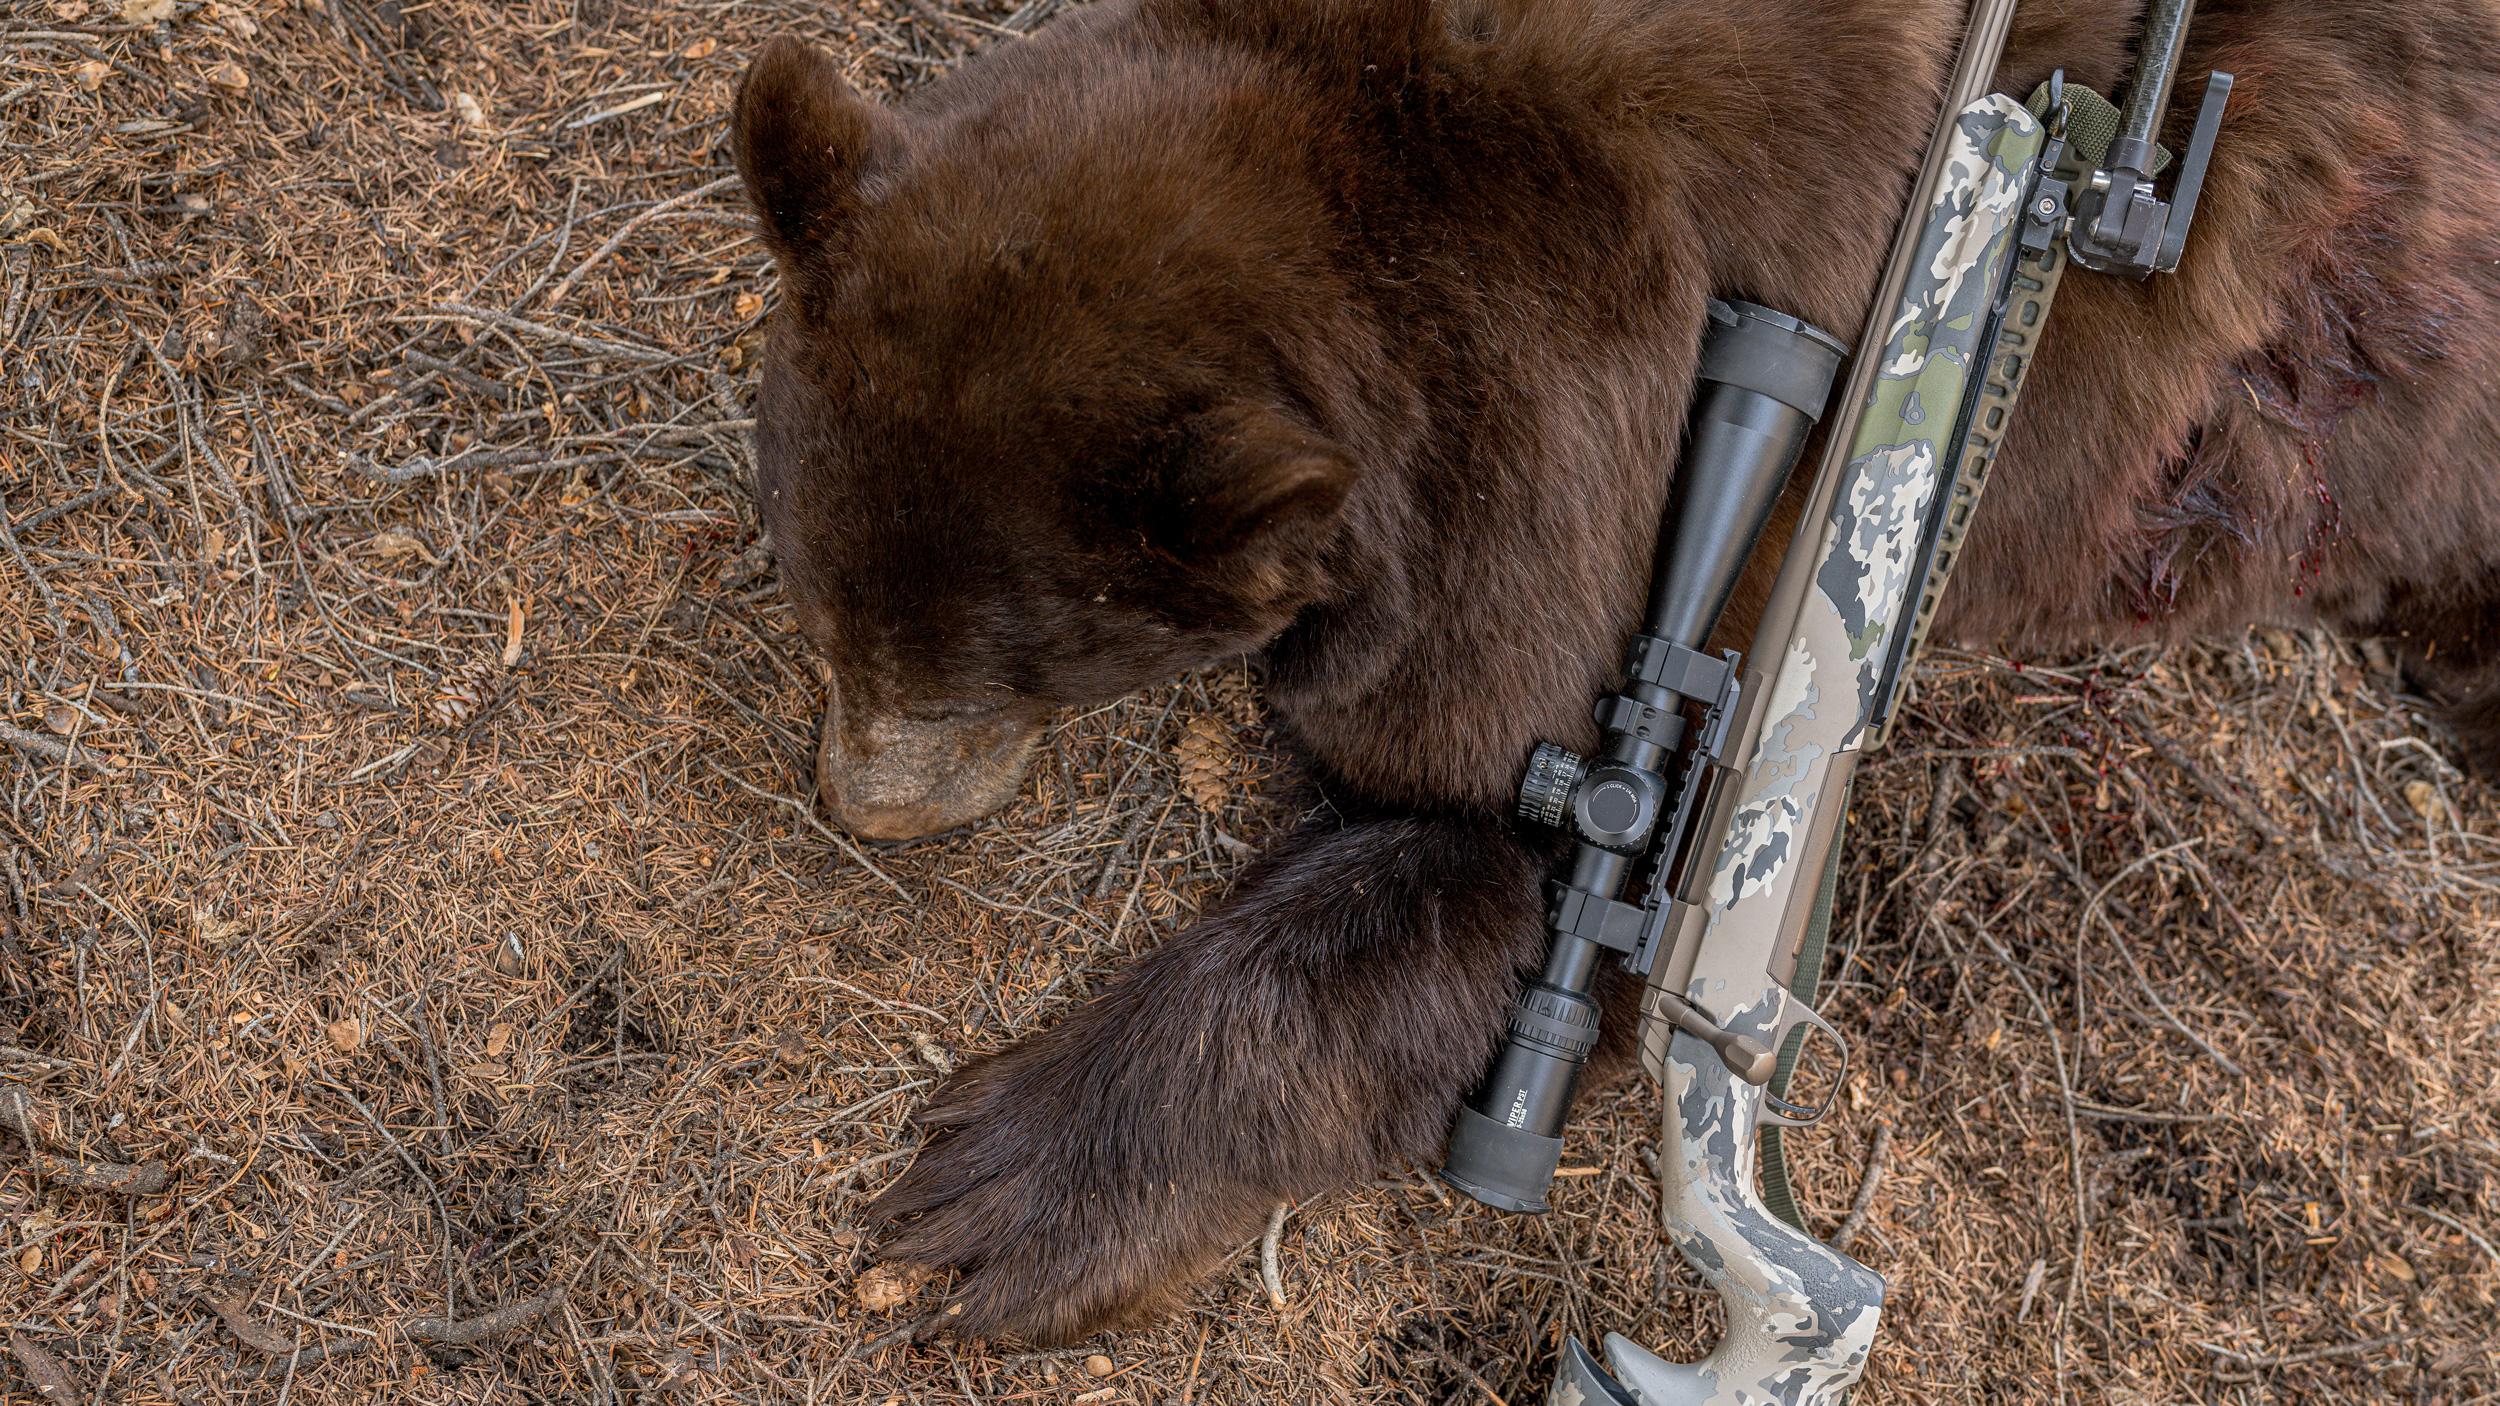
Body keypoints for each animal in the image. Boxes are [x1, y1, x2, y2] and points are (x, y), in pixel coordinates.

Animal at [729, 0, 2500, 1344]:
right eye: (818, 601)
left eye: (994, 678)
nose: (866, 807)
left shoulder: (1577, 468)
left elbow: (1522, 872)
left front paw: (1003, 1190)